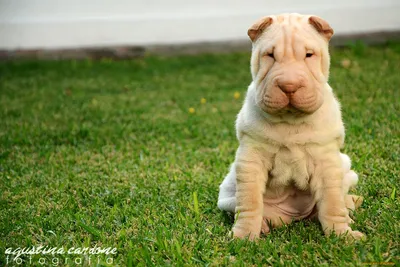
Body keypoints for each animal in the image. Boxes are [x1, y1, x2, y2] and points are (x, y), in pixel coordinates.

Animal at [217, 13, 364, 241]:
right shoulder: (251, 160)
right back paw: (263, 226)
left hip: (345, 166)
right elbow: (249, 202)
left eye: (309, 55)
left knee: (339, 197)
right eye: (270, 55)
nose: (289, 86)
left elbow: (332, 202)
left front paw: (342, 235)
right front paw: (243, 236)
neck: (291, 120)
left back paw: (350, 205)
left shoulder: (327, 161)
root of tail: (296, 217)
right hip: (227, 193)